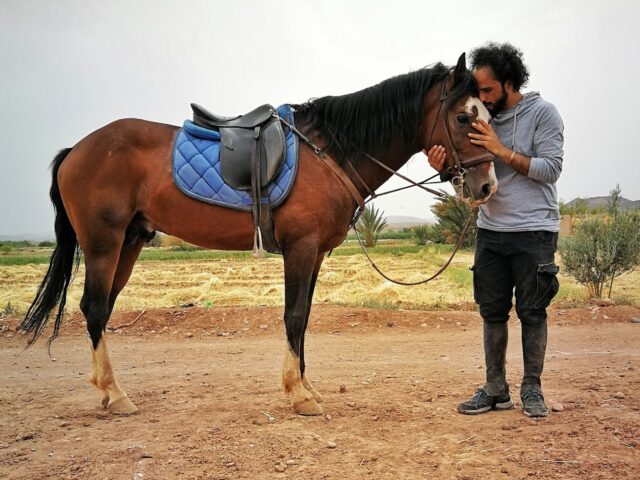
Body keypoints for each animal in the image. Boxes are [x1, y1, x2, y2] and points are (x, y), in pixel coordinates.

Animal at [20, 53, 496, 416]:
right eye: (462, 116)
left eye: (488, 115)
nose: (487, 186)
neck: (329, 152)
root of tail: (77, 150)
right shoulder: (301, 249)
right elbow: (294, 316)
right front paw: (299, 394)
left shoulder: (315, 254)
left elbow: (304, 317)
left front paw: (306, 385)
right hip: (104, 243)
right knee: (94, 308)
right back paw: (115, 395)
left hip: (132, 242)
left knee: (102, 309)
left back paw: (108, 391)